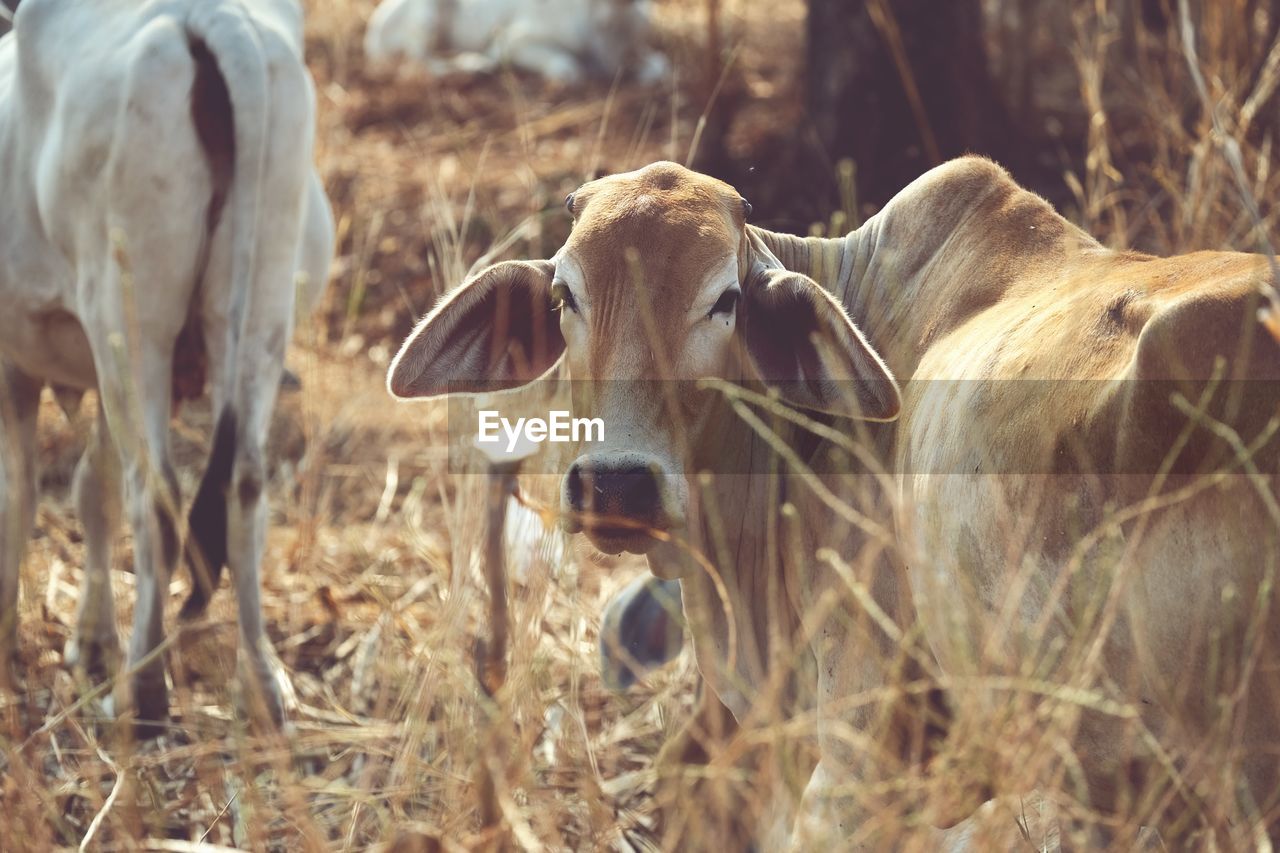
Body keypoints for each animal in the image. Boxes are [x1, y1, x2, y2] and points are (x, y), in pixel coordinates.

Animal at [0, 0, 335, 732]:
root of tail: (207, 17)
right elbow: (88, 489)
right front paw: (91, 639)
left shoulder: (18, 361)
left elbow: (21, 493)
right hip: (257, 315)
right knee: (241, 484)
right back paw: (262, 683)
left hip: (130, 320)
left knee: (155, 495)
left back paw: (146, 692)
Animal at [366, 0, 670, 83]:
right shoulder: (511, 42)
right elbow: (568, 68)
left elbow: (660, 67)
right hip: (427, 17)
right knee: (421, 61)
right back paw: (472, 66)